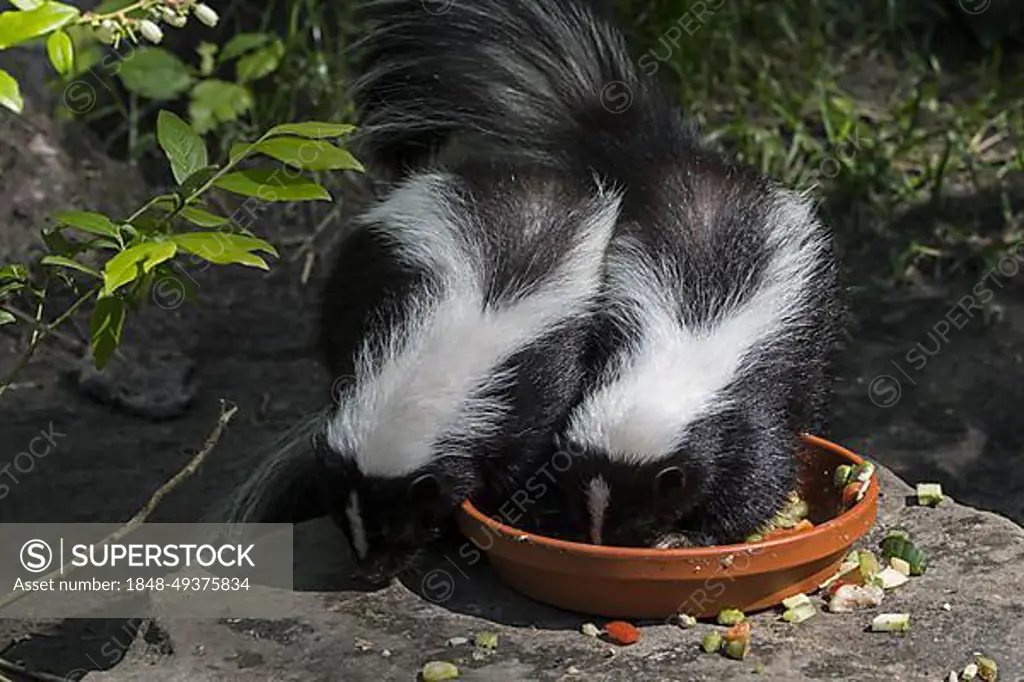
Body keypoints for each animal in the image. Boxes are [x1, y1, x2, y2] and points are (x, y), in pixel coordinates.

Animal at [344, 0, 839, 548]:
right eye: (589, 499)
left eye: (643, 508)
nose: (604, 541)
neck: (674, 356)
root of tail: (665, 157)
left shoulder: (744, 403)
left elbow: (759, 470)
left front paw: (699, 536)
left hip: (810, 320)